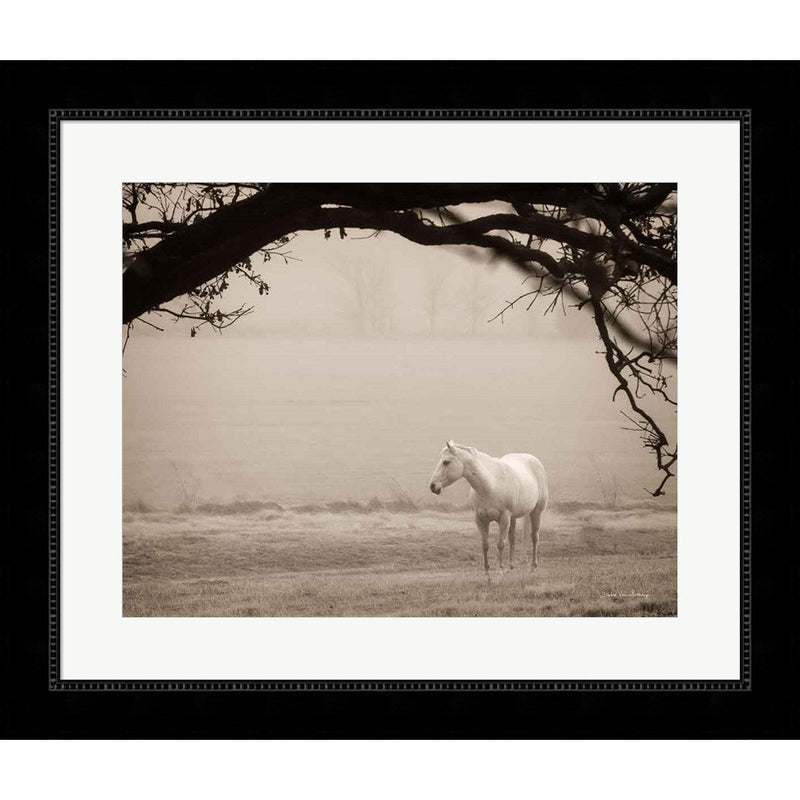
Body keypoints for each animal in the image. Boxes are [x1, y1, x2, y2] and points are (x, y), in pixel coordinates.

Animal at [428, 440, 548, 575]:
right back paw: (511, 566)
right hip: (513, 518)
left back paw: (533, 566)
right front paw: (487, 571)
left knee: (534, 537)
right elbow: (485, 545)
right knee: (512, 539)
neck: (490, 486)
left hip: (536, 511)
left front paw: (500, 569)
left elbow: (500, 544)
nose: (433, 486)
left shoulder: (504, 518)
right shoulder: (481, 520)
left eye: (446, 462)